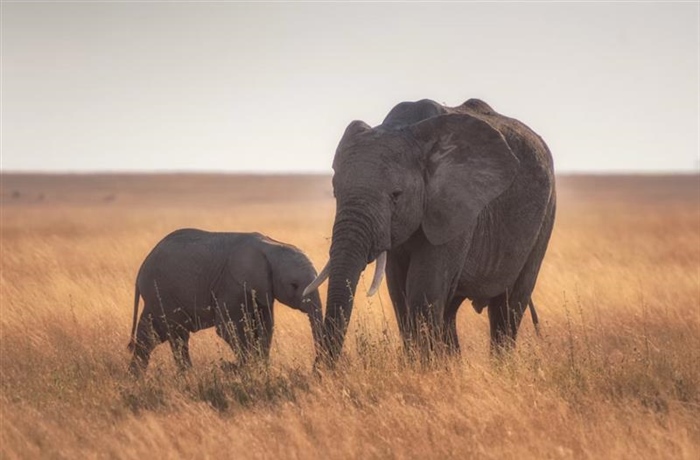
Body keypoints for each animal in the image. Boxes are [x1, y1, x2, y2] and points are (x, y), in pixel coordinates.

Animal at [127, 228, 323, 375]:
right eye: (294, 285)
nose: (315, 368)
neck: (271, 246)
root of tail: (142, 268)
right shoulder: (231, 285)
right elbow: (228, 328)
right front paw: (245, 369)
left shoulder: (262, 290)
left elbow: (266, 327)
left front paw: (260, 370)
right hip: (162, 292)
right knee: (178, 335)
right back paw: (187, 376)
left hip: (157, 295)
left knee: (150, 334)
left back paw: (136, 378)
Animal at [304, 98, 556, 362]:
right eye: (335, 192)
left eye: (396, 195)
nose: (322, 369)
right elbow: (399, 291)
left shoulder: (456, 207)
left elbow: (423, 290)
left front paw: (424, 367)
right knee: (451, 310)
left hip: (546, 215)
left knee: (508, 306)